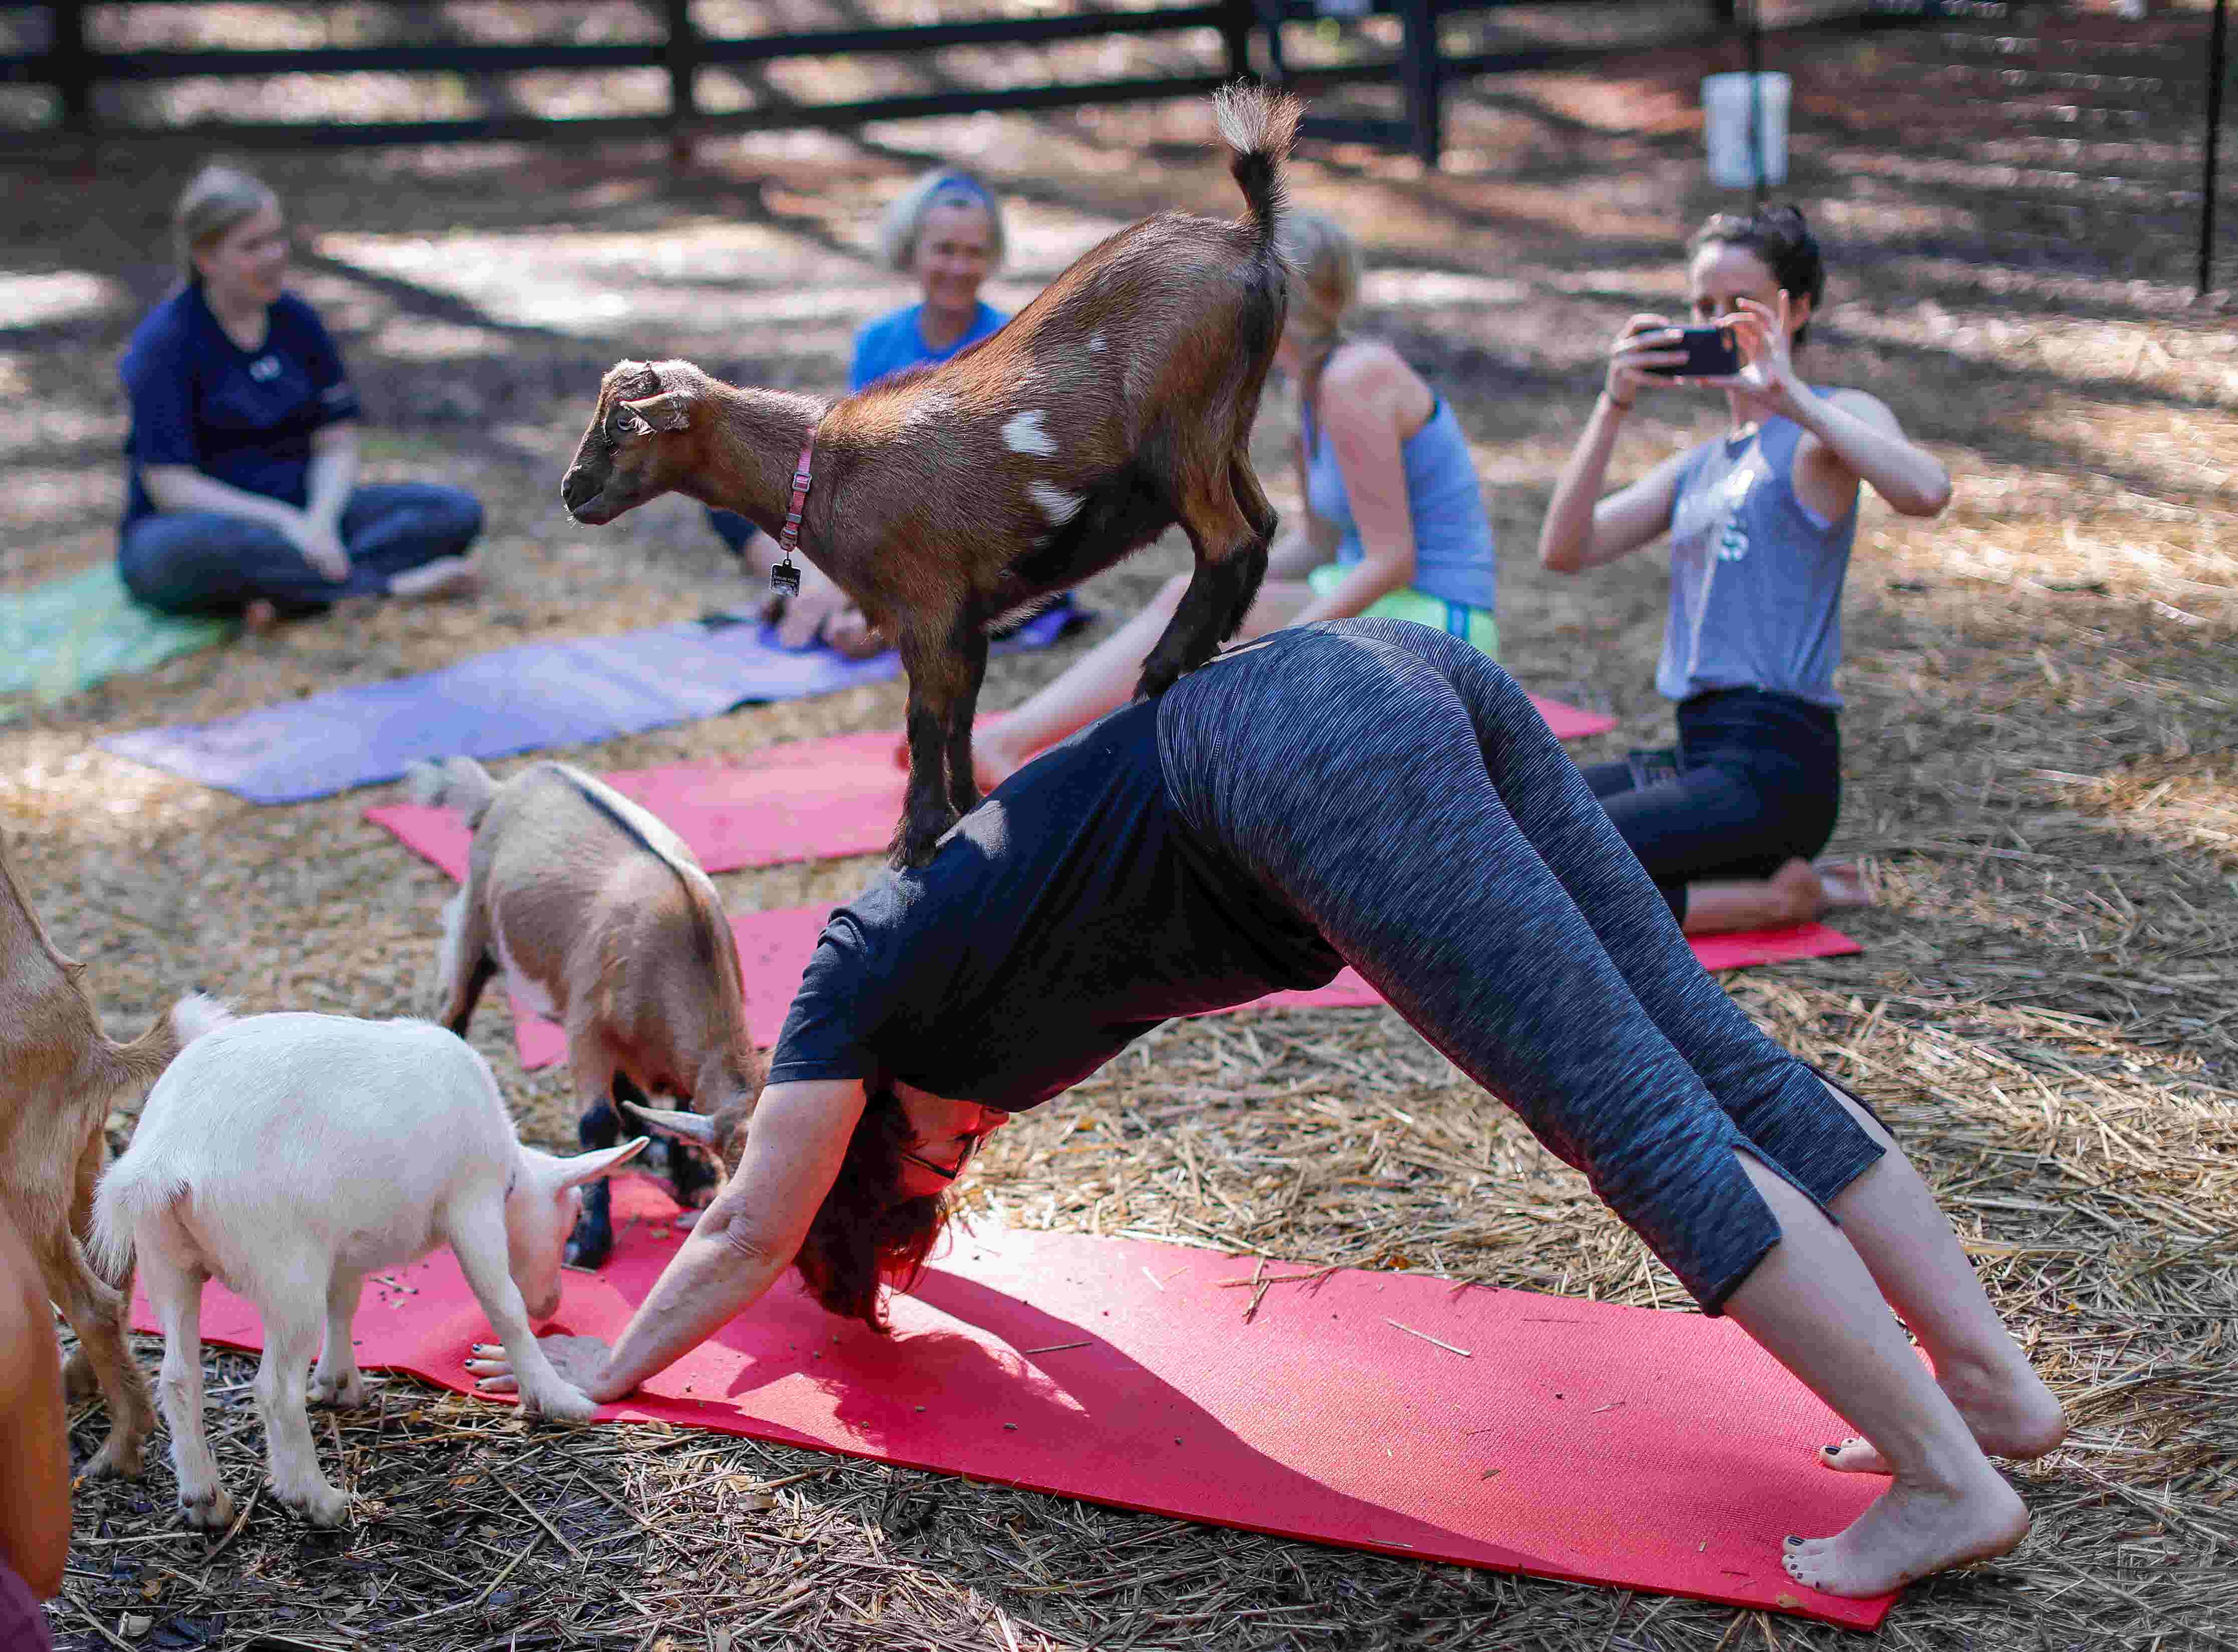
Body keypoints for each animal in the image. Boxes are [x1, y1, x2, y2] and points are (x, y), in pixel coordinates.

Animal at [92, 1012, 644, 1522]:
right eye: (571, 1219)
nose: (551, 1304)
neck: (508, 1169)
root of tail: (165, 1157)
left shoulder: (344, 1246)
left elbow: (346, 1303)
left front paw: (339, 1383)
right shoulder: (473, 1204)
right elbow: (501, 1302)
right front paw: (556, 1396)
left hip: (166, 1260)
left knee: (179, 1377)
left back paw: (206, 1498)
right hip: (285, 1267)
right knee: (275, 1390)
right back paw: (315, 1498)